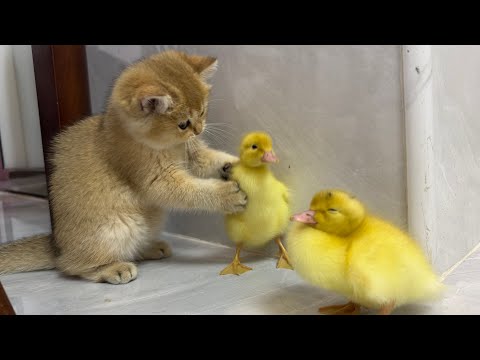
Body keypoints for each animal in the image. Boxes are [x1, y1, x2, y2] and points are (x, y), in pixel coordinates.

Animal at [0, 49, 248, 284]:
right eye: (183, 124)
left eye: (203, 111)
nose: (199, 129)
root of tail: (57, 245)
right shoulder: (156, 180)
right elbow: (192, 192)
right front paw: (227, 195)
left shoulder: (193, 154)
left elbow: (211, 159)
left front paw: (236, 163)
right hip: (119, 228)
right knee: (71, 266)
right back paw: (113, 268)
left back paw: (151, 248)